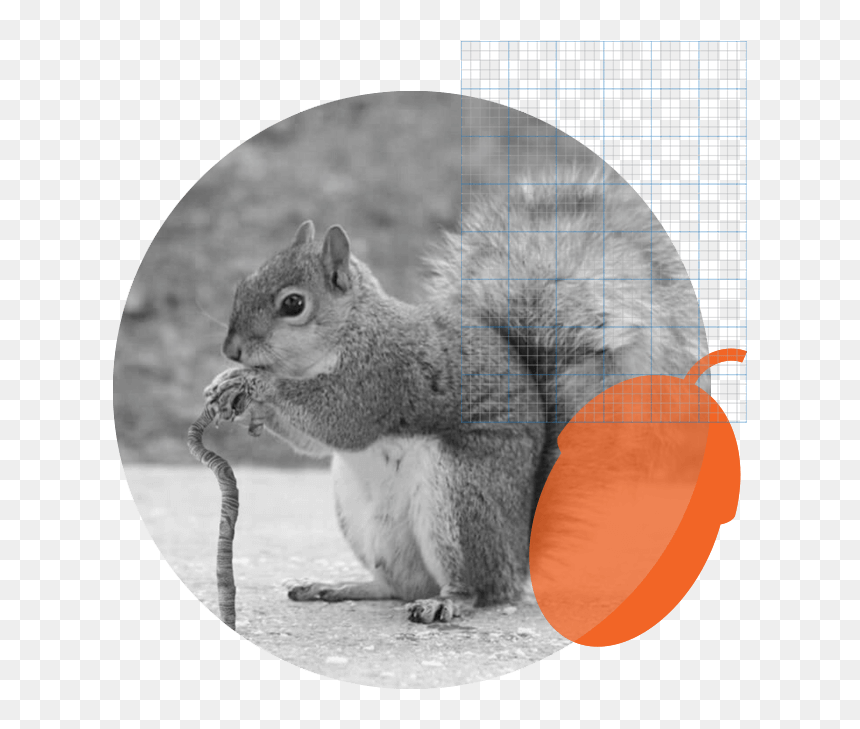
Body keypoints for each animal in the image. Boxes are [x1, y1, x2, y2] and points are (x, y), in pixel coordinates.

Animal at [203, 164, 710, 624]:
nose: (231, 349)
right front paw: (232, 390)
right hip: (363, 517)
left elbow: (340, 422)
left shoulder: (381, 376)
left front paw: (255, 385)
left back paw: (446, 601)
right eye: (244, 283)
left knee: (475, 588)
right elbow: (311, 441)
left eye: (293, 304)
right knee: (397, 584)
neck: (347, 332)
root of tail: (517, 557)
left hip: (460, 499)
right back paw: (340, 586)